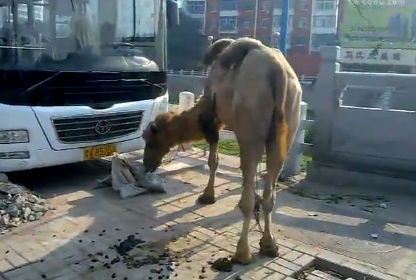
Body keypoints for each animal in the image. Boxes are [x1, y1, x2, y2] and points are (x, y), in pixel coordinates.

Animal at [141, 37, 300, 264]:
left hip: (250, 127)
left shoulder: (214, 122)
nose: (147, 164)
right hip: (286, 129)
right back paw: (269, 245)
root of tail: (278, 73)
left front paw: (207, 196)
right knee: (270, 190)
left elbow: (213, 160)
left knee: (248, 195)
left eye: (151, 141)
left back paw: (242, 253)